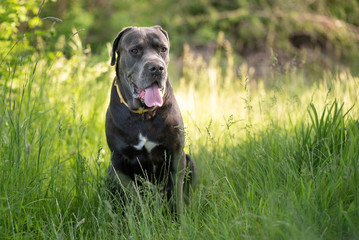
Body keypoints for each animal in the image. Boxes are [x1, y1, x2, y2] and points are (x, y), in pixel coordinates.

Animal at [105, 25, 198, 214]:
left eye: (163, 49)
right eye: (134, 50)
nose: (157, 67)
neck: (143, 115)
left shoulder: (176, 153)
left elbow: (175, 193)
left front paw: (178, 218)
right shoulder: (118, 160)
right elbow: (132, 196)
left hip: (189, 160)